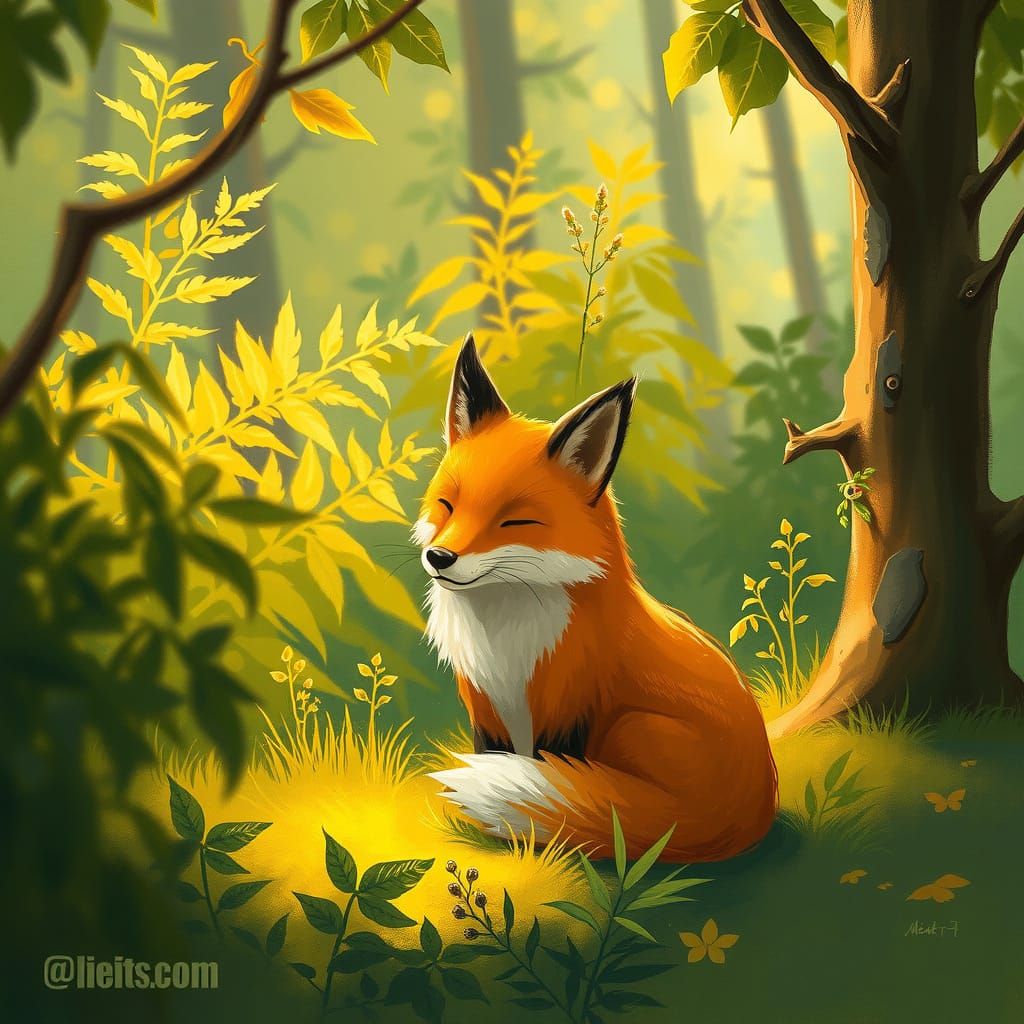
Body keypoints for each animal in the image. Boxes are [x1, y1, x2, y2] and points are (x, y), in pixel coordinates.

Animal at [420, 335, 778, 861]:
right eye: (448, 505)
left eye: (514, 521)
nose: (439, 557)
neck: (507, 638)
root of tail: (750, 811)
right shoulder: (486, 705)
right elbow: (495, 757)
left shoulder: (572, 706)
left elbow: (545, 774)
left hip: (634, 727)